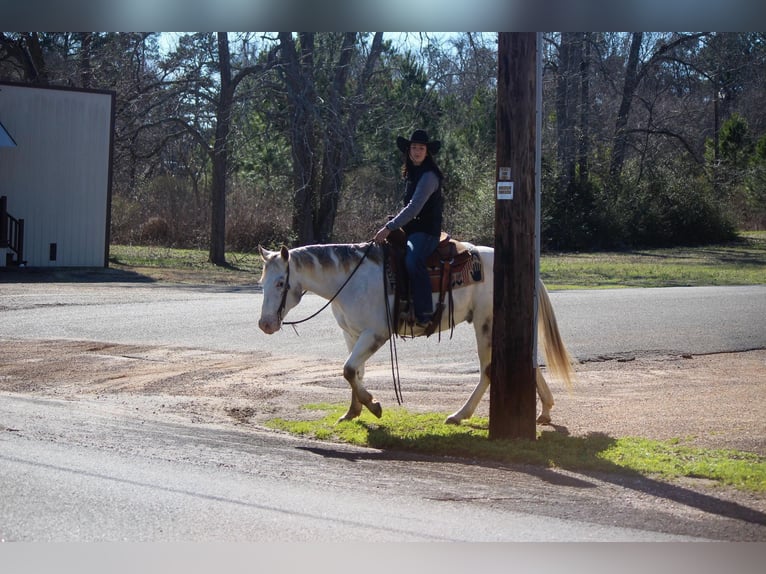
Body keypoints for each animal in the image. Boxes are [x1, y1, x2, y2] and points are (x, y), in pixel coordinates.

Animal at [260, 243, 576, 428]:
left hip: (486, 325)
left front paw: (373, 406)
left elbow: (348, 370)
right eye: (262, 282)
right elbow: (355, 372)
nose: (265, 324)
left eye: (280, 282)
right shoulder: (352, 334)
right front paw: (352, 411)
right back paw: (546, 410)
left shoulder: (375, 333)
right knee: (526, 365)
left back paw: (459, 415)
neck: (350, 280)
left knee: (488, 371)